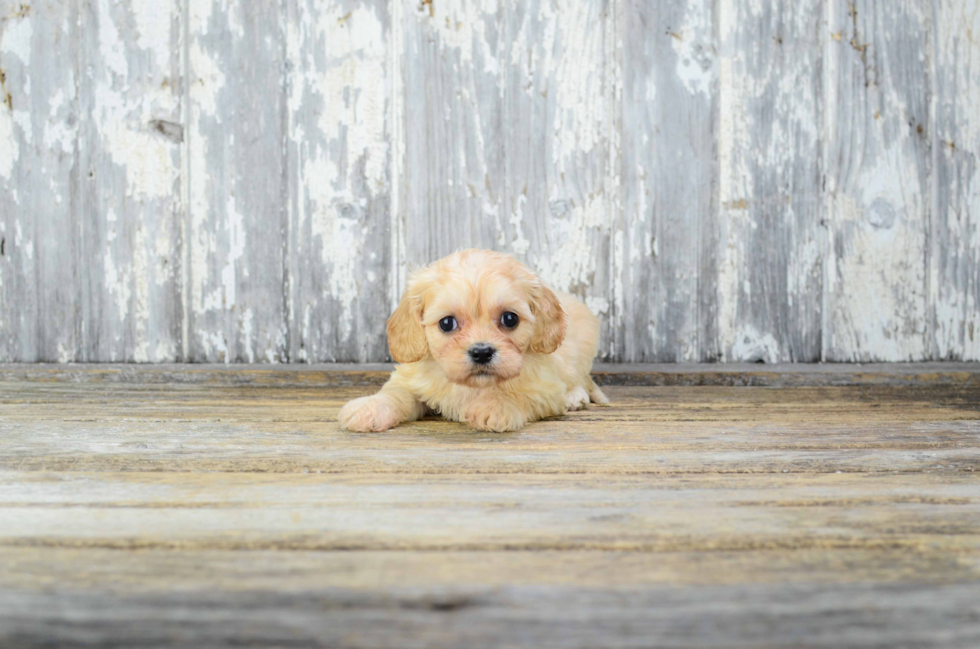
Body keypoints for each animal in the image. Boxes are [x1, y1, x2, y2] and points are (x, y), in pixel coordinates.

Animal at [340, 248, 608, 430]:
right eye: (447, 323)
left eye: (510, 319)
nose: (481, 352)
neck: (474, 386)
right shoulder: (411, 380)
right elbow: (396, 393)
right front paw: (369, 408)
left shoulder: (545, 390)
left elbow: (519, 395)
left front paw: (494, 406)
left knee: (582, 380)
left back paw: (575, 397)